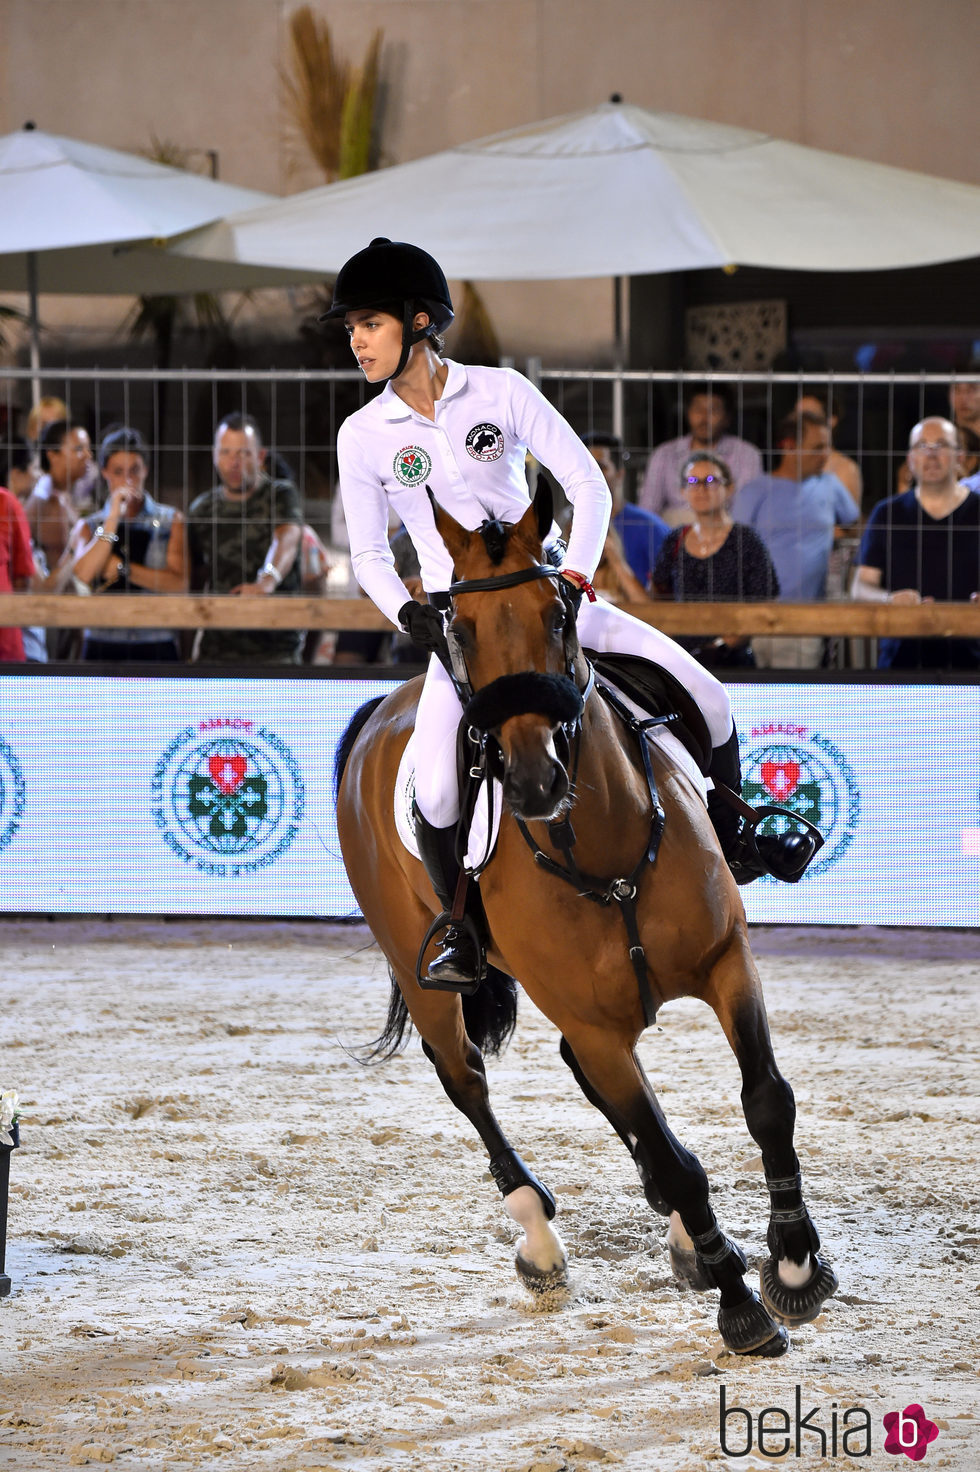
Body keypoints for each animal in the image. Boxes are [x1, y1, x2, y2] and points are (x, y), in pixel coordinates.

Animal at [334, 482, 829, 1354]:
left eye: (559, 613)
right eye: (460, 627)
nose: (534, 779)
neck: (602, 848)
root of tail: (375, 714)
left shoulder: (726, 962)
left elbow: (767, 1101)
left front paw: (795, 1263)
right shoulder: (598, 1028)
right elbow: (678, 1165)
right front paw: (741, 1307)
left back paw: (686, 1242)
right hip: (424, 977)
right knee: (466, 1081)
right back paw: (541, 1243)